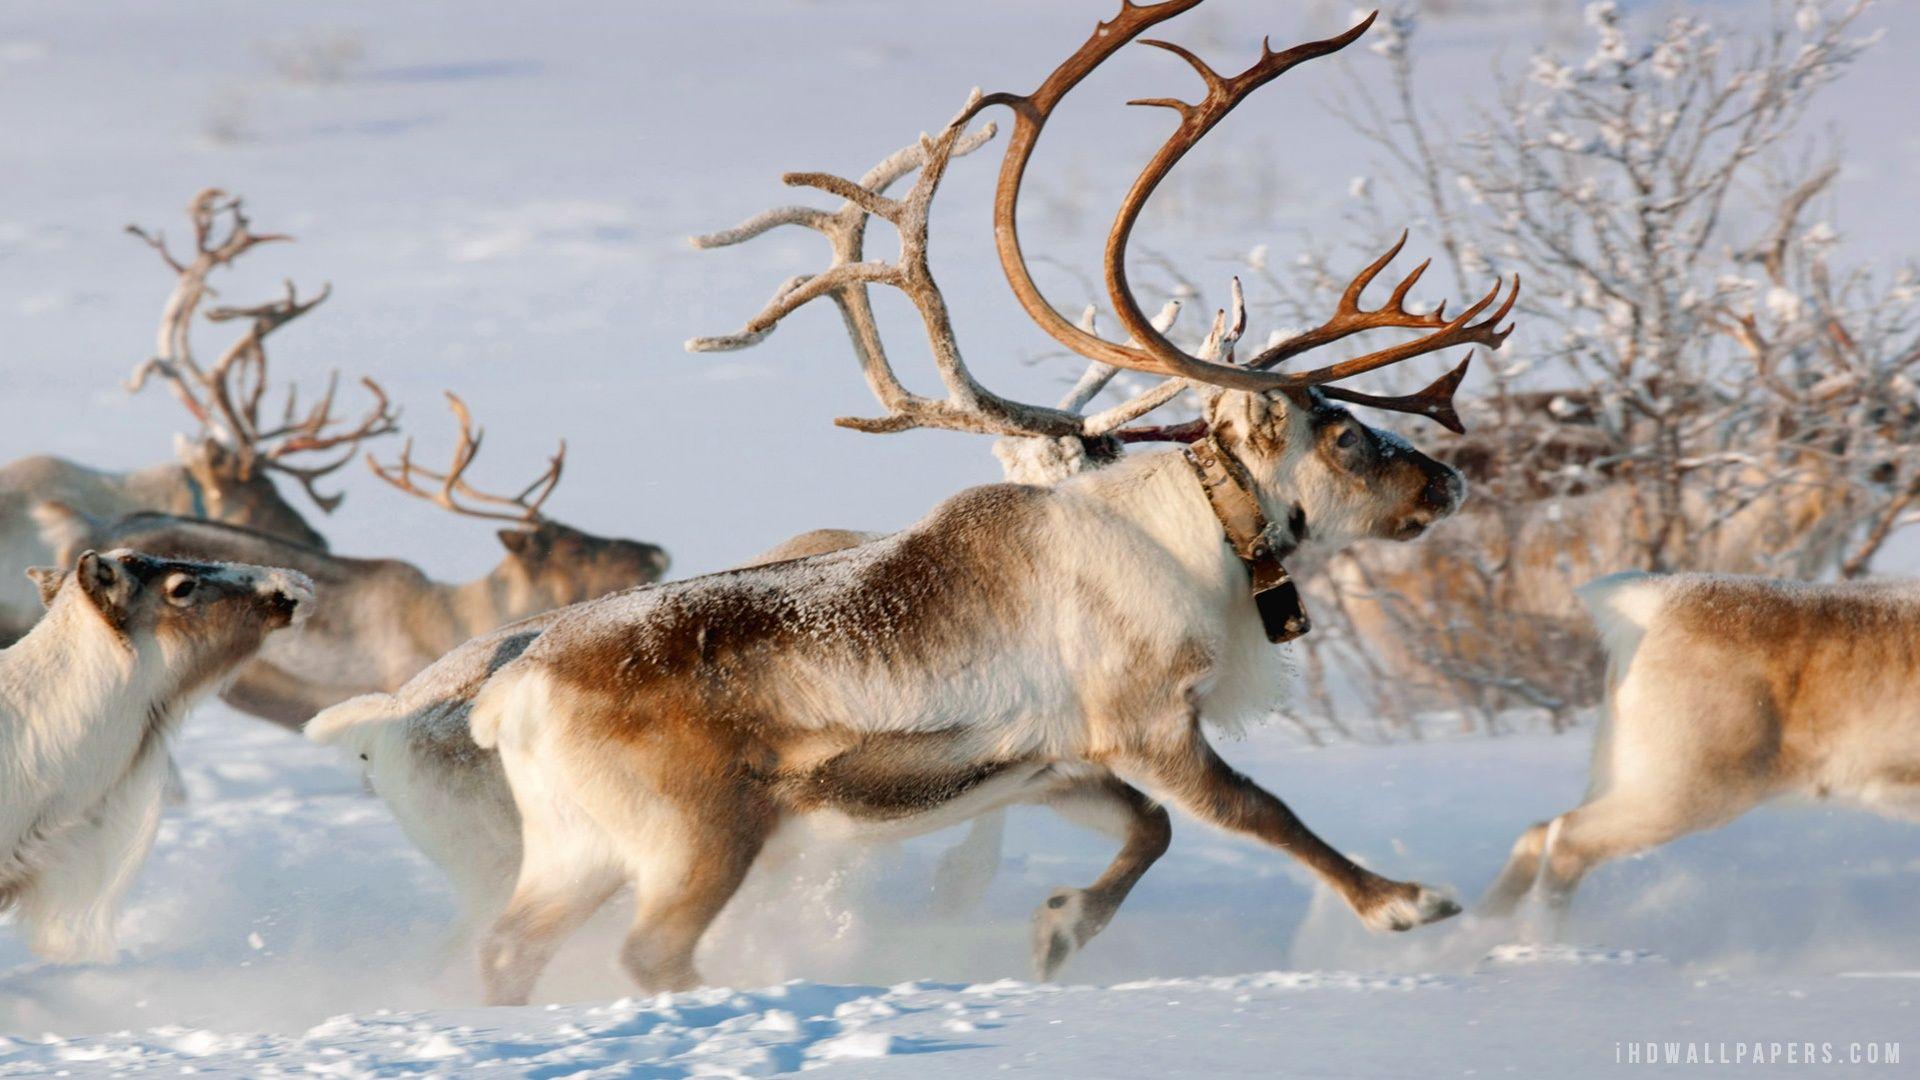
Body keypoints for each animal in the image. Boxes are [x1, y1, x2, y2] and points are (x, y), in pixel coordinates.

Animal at [417, 4, 1520, 1005]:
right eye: (1340, 431)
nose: (1449, 480)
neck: (1193, 540)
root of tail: (509, 699)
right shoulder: (1147, 724)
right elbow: (1262, 812)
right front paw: (1405, 902)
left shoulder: (1055, 762)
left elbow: (1152, 830)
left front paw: (1060, 930)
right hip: (699, 835)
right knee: (648, 954)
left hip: (576, 850)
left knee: (508, 950)